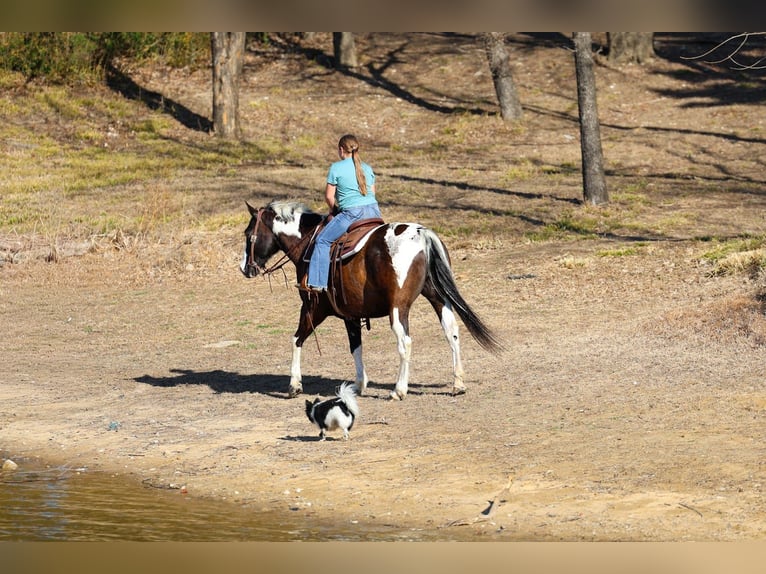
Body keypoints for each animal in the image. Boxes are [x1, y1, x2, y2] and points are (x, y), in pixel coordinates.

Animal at [240, 200, 502, 400]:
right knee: (452, 332)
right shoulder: (350, 314)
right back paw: (458, 383)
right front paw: (359, 384)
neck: (308, 243)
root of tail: (421, 234)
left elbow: (296, 339)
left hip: (398, 308)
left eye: (248, 235)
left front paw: (294, 384)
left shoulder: (313, 308)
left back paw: (399, 390)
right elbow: (356, 346)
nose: (244, 268)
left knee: (405, 342)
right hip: (438, 297)